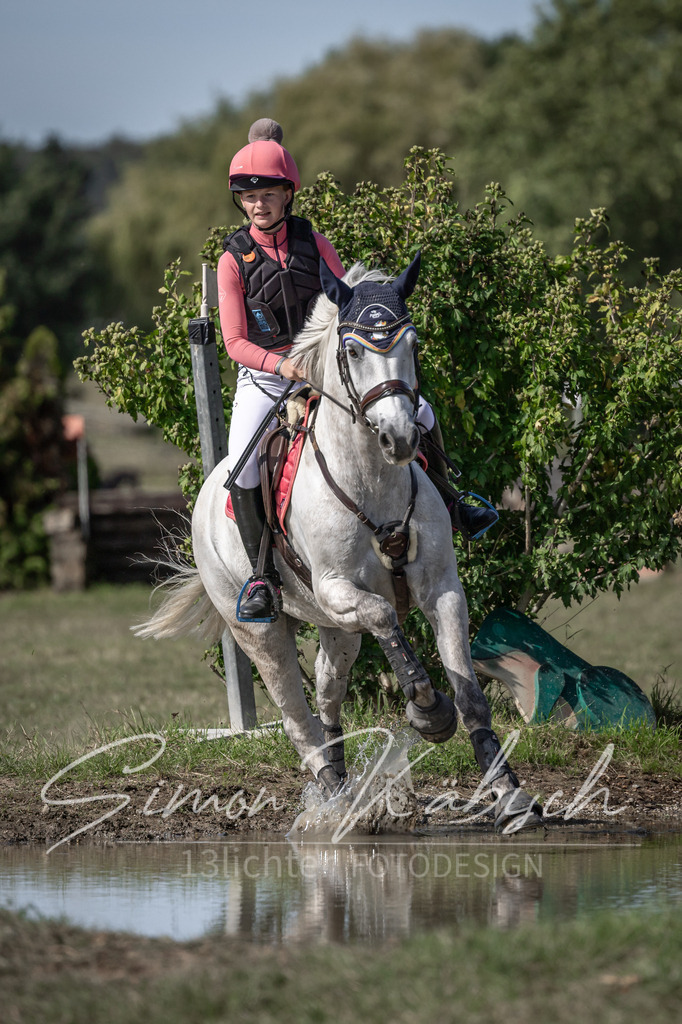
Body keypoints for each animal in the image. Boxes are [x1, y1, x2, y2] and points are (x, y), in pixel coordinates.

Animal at [135, 254, 542, 831]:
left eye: (413, 344)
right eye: (352, 350)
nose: (400, 438)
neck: (371, 478)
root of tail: (203, 503)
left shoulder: (441, 588)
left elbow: (470, 694)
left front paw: (509, 795)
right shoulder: (337, 588)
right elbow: (384, 616)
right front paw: (428, 712)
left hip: (334, 629)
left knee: (328, 697)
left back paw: (344, 792)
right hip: (261, 632)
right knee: (297, 718)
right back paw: (332, 804)